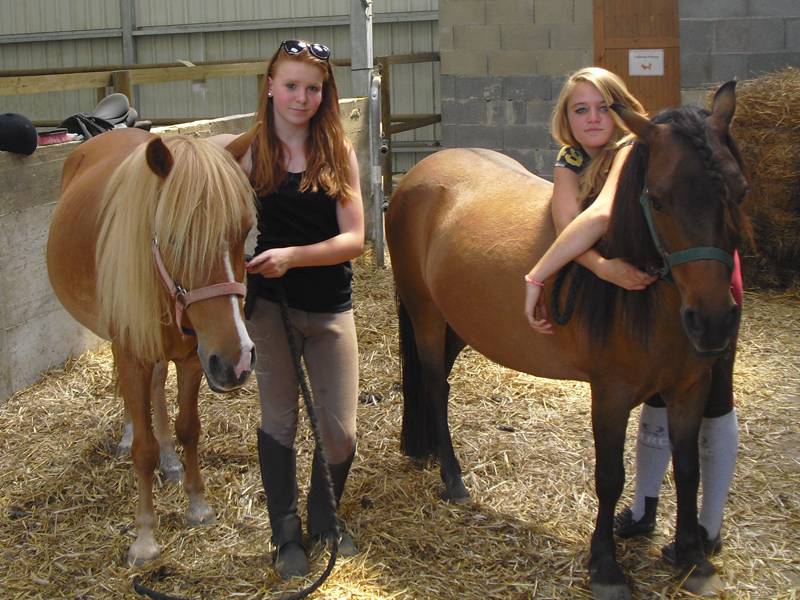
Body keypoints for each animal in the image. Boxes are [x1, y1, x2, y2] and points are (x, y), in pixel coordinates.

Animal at [47, 124, 258, 564]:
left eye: (245, 231)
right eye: (174, 237)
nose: (238, 361)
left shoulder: (195, 358)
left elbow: (189, 428)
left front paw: (197, 503)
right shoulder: (133, 354)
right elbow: (141, 449)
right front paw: (144, 535)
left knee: (159, 389)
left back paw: (170, 460)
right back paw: (133, 435)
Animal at [388, 81, 752, 600]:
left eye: (739, 192)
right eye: (658, 199)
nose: (714, 322)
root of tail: (416, 177)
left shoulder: (689, 388)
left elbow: (687, 467)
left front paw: (691, 556)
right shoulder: (611, 393)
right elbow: (610, 476)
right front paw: (605, 566)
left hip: (459, 325)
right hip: (427, 317)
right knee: (436, 387)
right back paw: (452, 478)